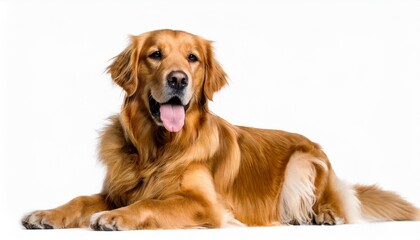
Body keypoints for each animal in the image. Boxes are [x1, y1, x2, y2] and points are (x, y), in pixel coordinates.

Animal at [22, 30, 416, 231]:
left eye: (192, 58)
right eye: (155, 54)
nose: (178, 79)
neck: (158, 149)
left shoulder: (205, 205)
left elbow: (149, 203)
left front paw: (116, 217)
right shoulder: (118, 188)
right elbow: (81, 199)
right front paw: (47, 213)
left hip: (303, 163)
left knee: (334, 202)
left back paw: (322, 215)